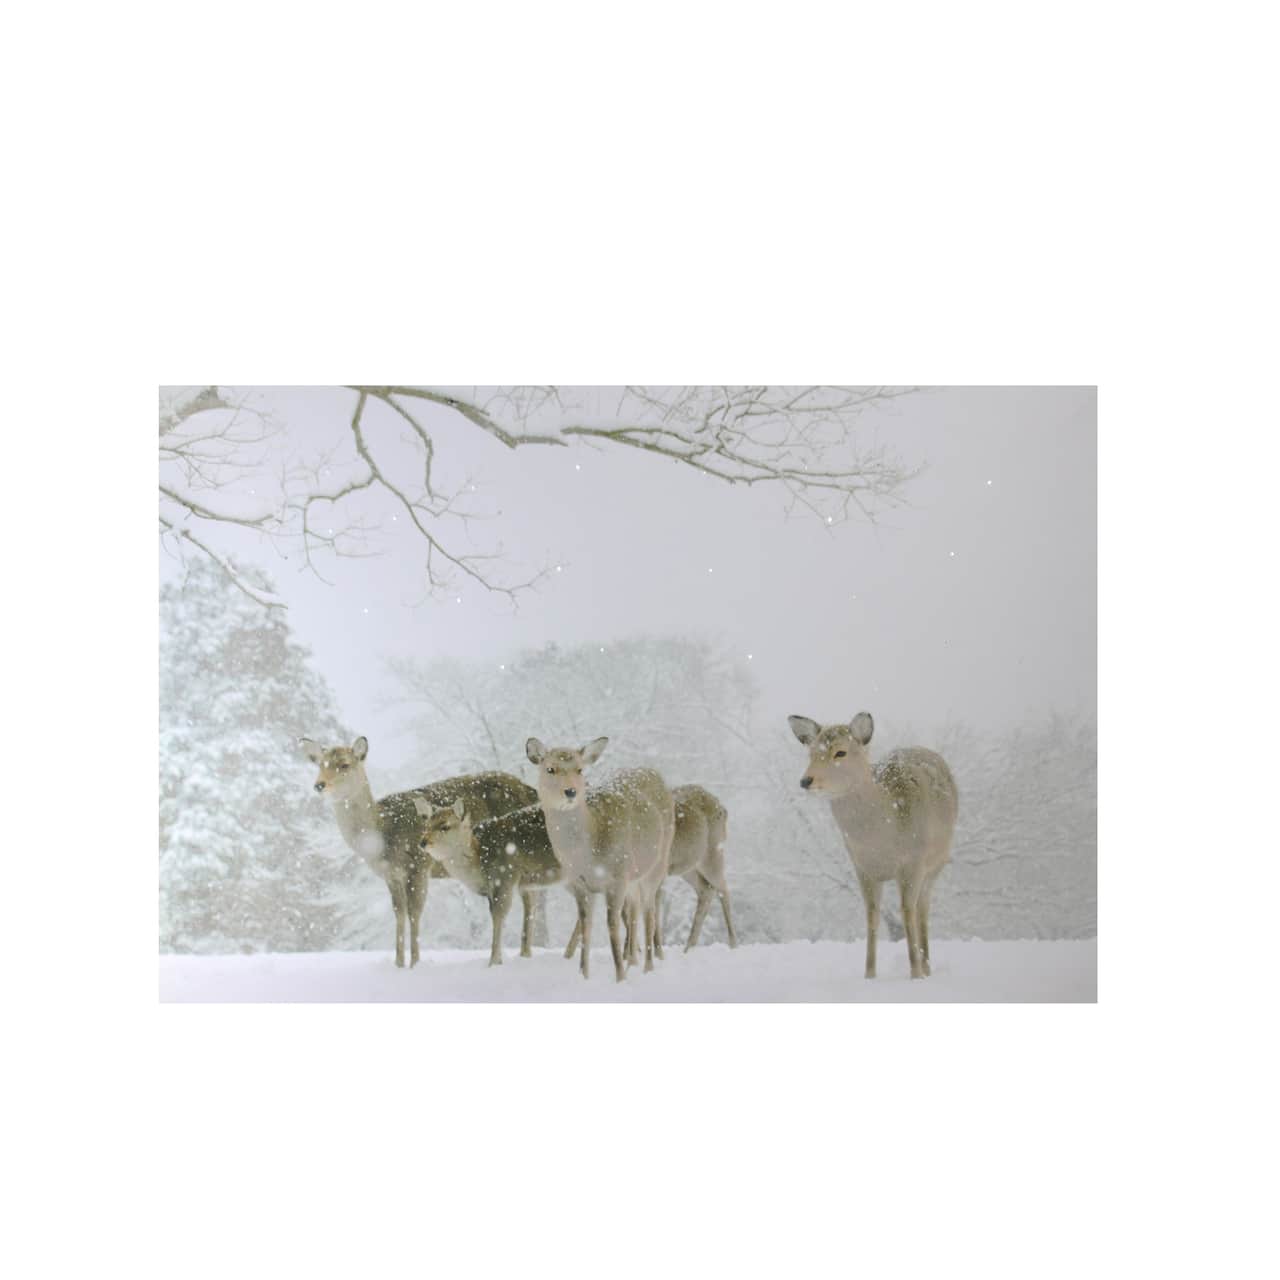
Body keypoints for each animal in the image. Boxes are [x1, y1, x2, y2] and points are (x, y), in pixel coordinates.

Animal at [297, 735, 537, 968]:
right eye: (320, 764)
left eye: (345, 764)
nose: (319, 785)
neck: (381, 839)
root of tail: (531, 790)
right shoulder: (390, 874)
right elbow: (399, 912)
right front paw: (398, 963)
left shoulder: (418, 865)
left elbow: (414, 911)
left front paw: (415, 963)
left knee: (529, 898)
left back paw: (524, 953)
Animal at [411, 797, 569, 967]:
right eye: (426, 825)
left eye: (445, 826)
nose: (423, 842)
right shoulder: (525, 884)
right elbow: (529, 914)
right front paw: (523, 956)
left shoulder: (505, 876)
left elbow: (498, 915)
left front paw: (493, 962)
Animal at [525, 736, 674, 982]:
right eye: (550, 769)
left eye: (580, 769)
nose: (571, 791)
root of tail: (654, 772)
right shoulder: (579, 884)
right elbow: (586, 925)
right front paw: (584, 975)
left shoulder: (617, 877)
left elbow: (611, 924)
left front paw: (620, 978)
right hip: (633, 877)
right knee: (634, 910)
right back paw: (632, 961)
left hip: (658, 863)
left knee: (649, 912)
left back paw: (647, 967)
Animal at [565, 782, 736, 957]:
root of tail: (723, 808)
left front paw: (647, 953)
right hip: (688, 867)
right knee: (705, 890)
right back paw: (688, 947)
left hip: (712, 853)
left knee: (723, 890)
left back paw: (732, 943)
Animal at [788, 712, 958, 980]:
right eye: (811, 753)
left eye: (840, 752)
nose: (806, 780)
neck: (879, 840)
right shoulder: (862, 867)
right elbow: (872, 915)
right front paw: (869, 974)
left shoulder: (913, 862)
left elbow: (906, 911)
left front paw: (915, 974)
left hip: (937, 863)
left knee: (922, 909)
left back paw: (927, 967)